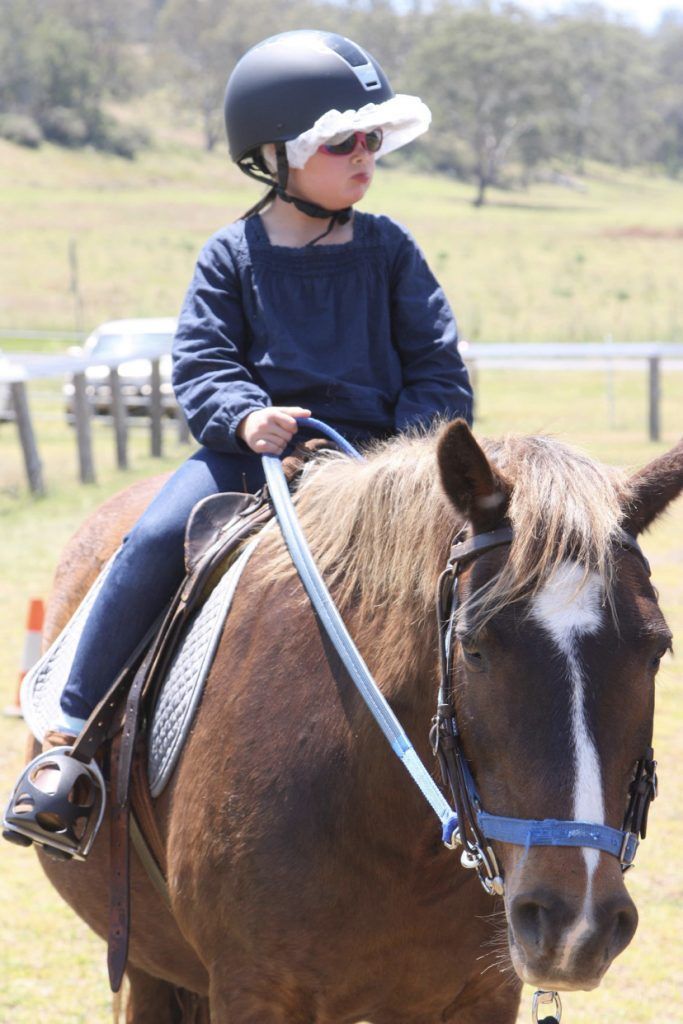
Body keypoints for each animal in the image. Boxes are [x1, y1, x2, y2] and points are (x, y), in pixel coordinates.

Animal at [26, 421, 683, 1023]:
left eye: (657, 650)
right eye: (473, 647)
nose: (575, 924)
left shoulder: (481, 996)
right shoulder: (252, 990)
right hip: (148, 962)